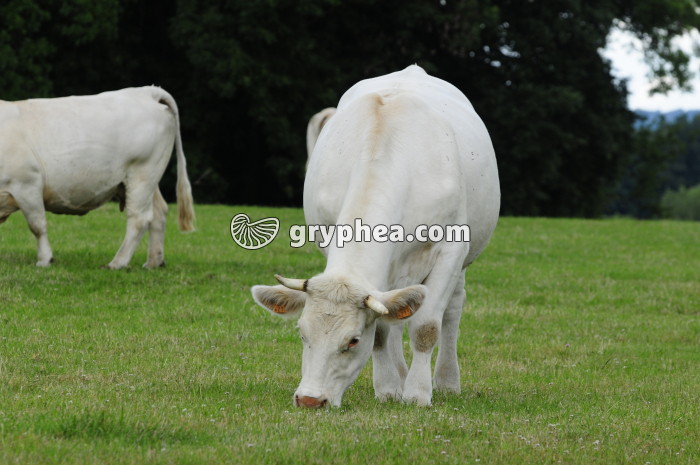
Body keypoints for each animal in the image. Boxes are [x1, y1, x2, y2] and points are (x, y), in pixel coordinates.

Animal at [0, 86, 195, 268]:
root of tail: (147, 91)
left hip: (142, 174)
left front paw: (45, 260)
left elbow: (37, 225)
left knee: (139, 219)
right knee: (159, 212)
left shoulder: (27, 183)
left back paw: (117, 263)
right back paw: (154, 262)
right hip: (148, 179)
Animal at [252, 65, 500, 408]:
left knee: (452, 310)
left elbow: (426, 327)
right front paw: (389, 388)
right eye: (302, 333)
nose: (310, 400)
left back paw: (447, 381)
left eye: (353, 341)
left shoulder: (451, 251)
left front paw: (418, 393)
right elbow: (382, 330)